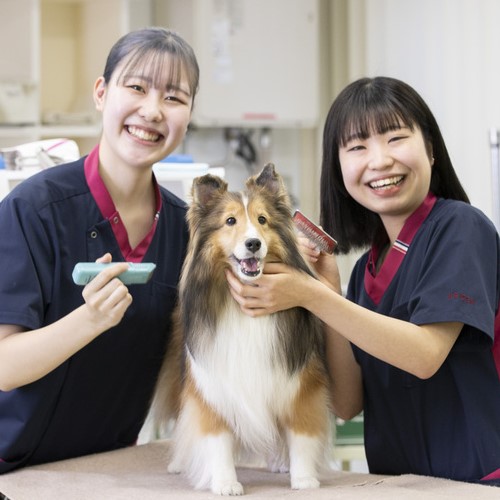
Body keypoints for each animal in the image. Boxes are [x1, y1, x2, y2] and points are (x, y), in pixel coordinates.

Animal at [152, 165, 332, 496]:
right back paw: (180, 463)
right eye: (230, 221)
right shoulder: (211, 382)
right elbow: (215, 436)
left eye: (262, 220)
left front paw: (303, 479)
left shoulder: (301, 381)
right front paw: (225, 482)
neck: (242, 308)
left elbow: (301, 431)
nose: (253, 244)